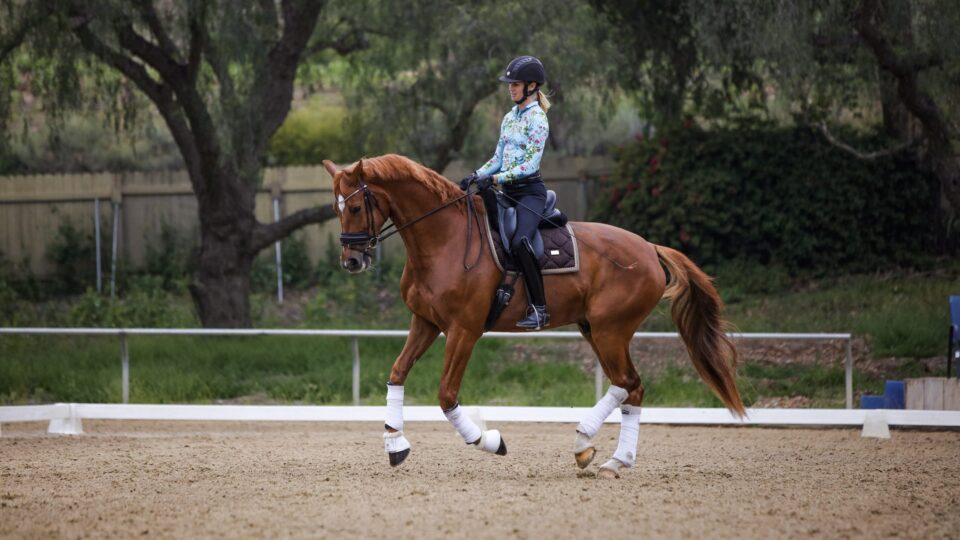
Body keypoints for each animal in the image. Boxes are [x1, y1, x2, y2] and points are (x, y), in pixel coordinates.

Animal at [323, 154, 744, 478]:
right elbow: (397, 373)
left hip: (610, 330)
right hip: (595, 330)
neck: (445, 239)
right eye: (335, 209)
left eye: (356, 207)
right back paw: (605, 456)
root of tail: (648, 247)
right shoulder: (425, 323)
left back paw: (590, 444)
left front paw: (488, 440)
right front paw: (395, 443)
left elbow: (446, 394)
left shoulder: (464, 330)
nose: (351, 261)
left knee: (628, 383)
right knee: (631, 387)